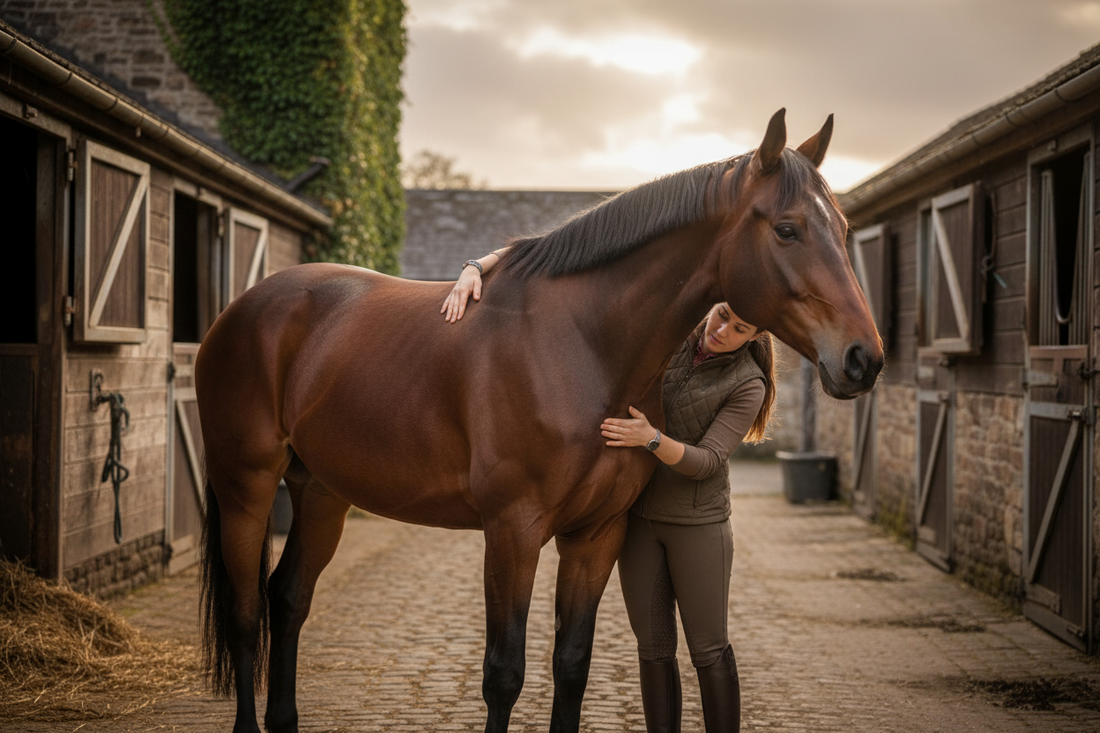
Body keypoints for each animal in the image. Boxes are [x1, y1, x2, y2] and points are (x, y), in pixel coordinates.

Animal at [195, 109, 883, 733]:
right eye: (788, 229)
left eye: (845, 226)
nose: (864, 359)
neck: (581, 346)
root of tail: (243, 309)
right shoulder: (512, 531)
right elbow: (504, 673)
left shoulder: (597, 535)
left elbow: (571, 663)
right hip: (246, 487)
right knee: (247, 616)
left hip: (320, 491)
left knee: (288, 599)